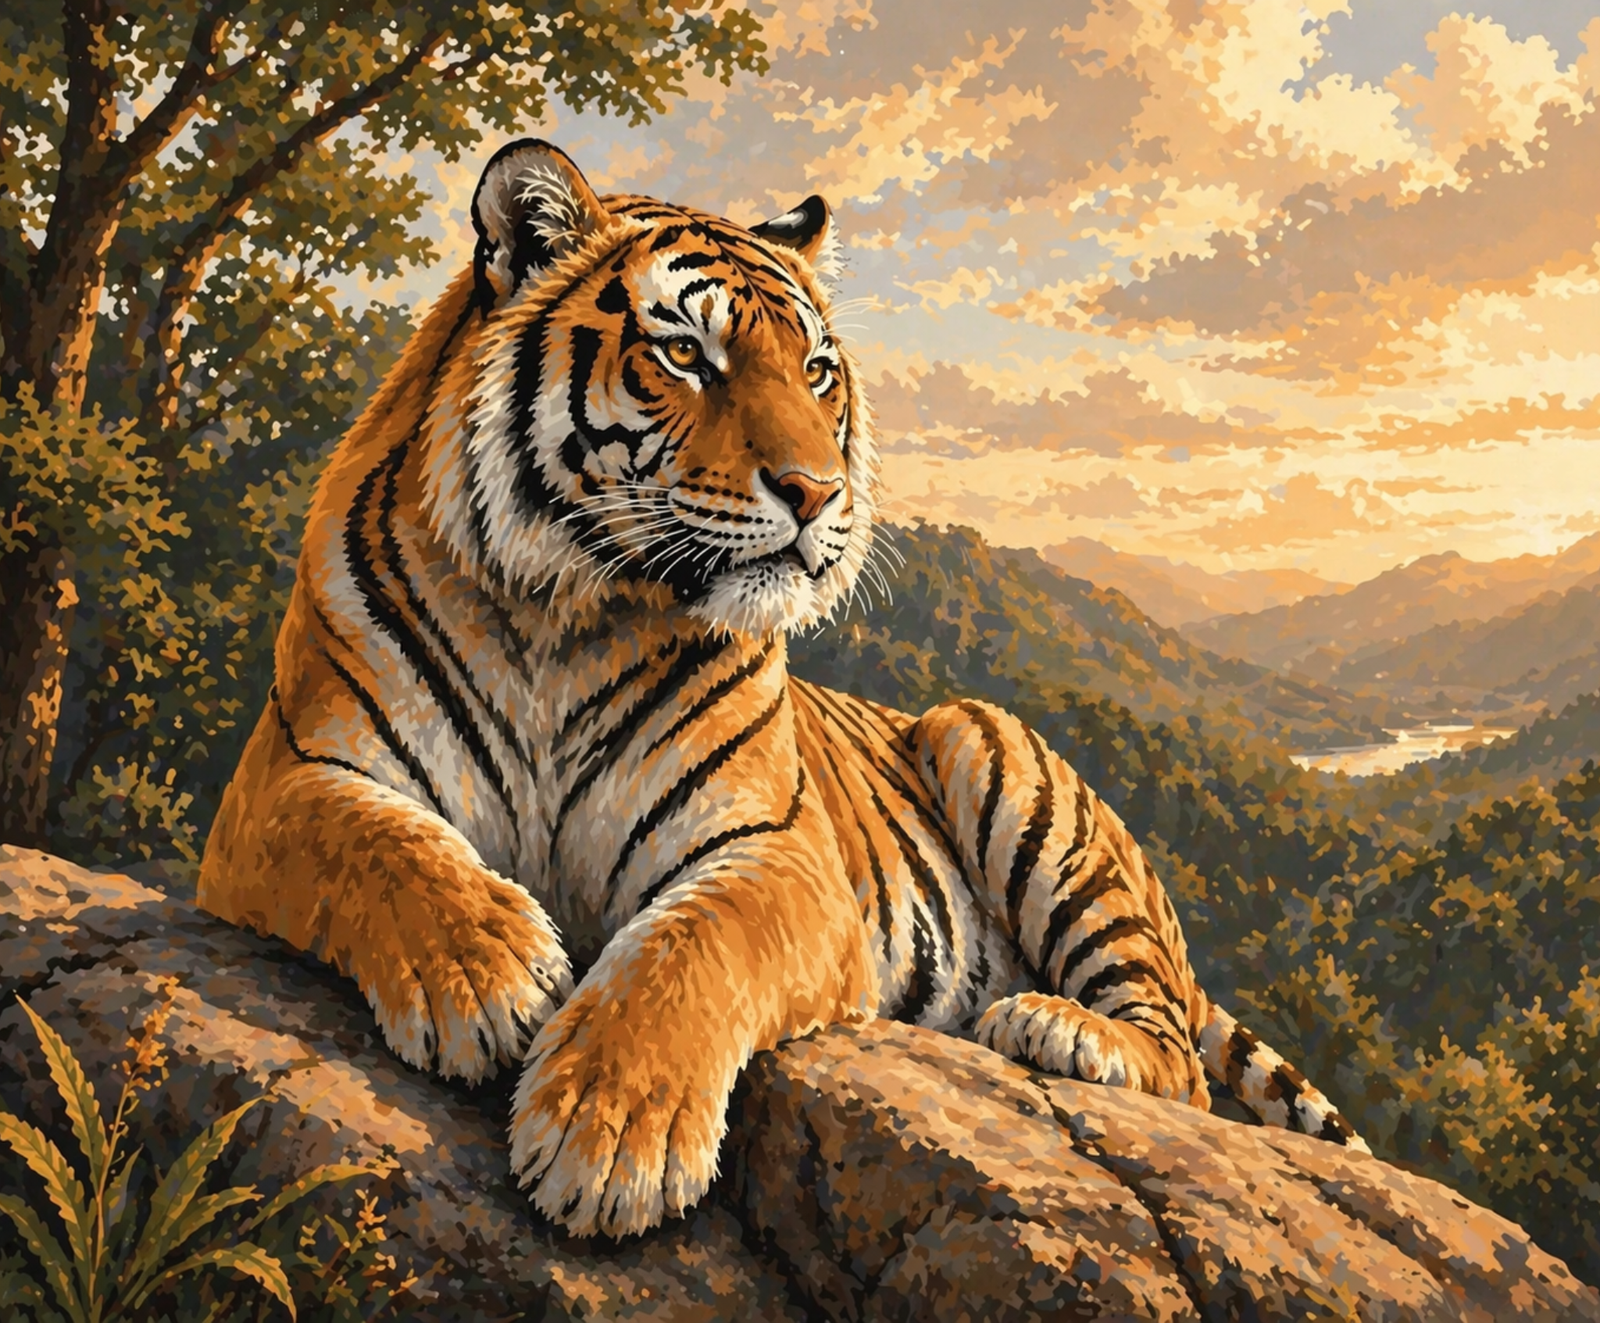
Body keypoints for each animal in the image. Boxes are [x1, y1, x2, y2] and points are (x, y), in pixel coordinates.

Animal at [198, 138, 1367, 1240]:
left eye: (814, 370)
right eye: (684, 353)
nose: (817, 492)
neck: (563, 614)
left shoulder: (778, 851)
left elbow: (691, 949)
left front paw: (608, 1140)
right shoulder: (285, 780)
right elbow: (379, 843)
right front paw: (489, 971)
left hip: (990, 748)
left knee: (1181, 1061)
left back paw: (1055, 1026)